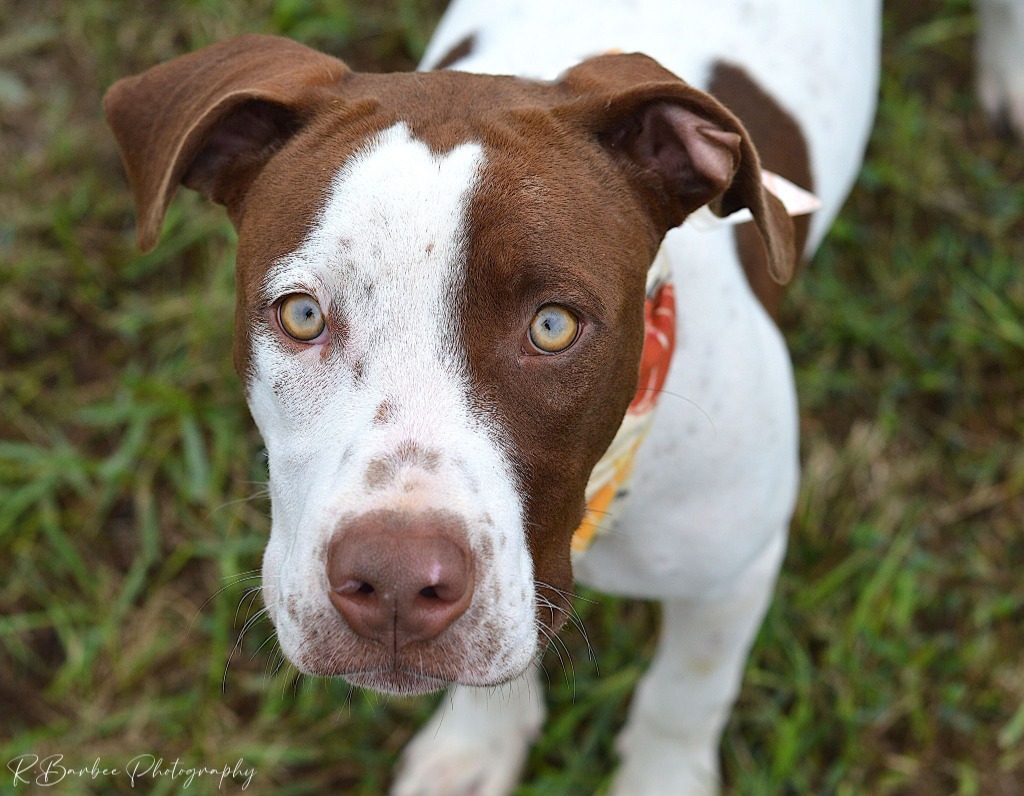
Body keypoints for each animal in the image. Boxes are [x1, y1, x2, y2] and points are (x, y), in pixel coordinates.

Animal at [105, 1, 1024, 794]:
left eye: (553, 326)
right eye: (301, 315)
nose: (394, 586)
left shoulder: (737, 566)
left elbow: (685, 693)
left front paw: (661, 780)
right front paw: (476, 747)